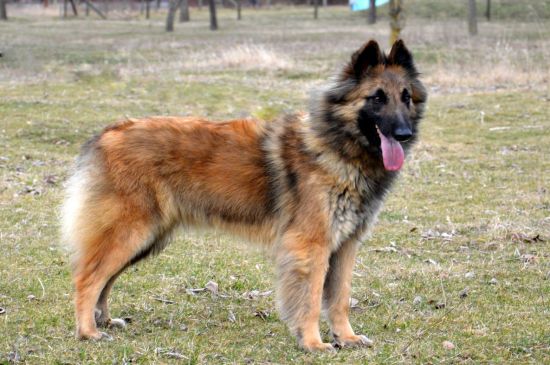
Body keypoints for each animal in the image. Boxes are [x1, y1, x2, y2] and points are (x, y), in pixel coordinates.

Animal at [62, 39, 430, 350]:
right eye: (377, 98)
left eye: (405, 97)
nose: (403, 133)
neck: (336, 145)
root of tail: (109, 133)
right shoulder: (311, 246)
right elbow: (311, 300)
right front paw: (313, 343)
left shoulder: (345, 245)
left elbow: (339, 299)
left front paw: (347, 338)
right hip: (131, 232)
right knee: (87, 278)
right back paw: (88, 331)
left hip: (145, 238)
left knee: (104, 279)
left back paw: (104, 320)